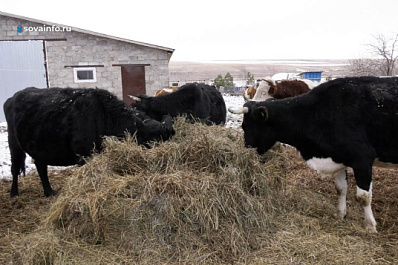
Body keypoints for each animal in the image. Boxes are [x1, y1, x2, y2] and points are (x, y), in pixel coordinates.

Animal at [3, 87, 174, 197]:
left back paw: (49, 192)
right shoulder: (84, 157)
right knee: (15, 168)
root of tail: (12, 97)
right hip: (14, 143)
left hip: (39, 147)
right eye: (152, 145)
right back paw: (14, 194)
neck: (103, 116)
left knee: (41, 167)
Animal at [229, 76, 398, 231]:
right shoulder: (338, 158)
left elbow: (363, 197)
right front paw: (340, 215)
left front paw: (370, 226)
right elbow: (340, 188)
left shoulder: (362, 159)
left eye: (246, 126)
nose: (245, 152)